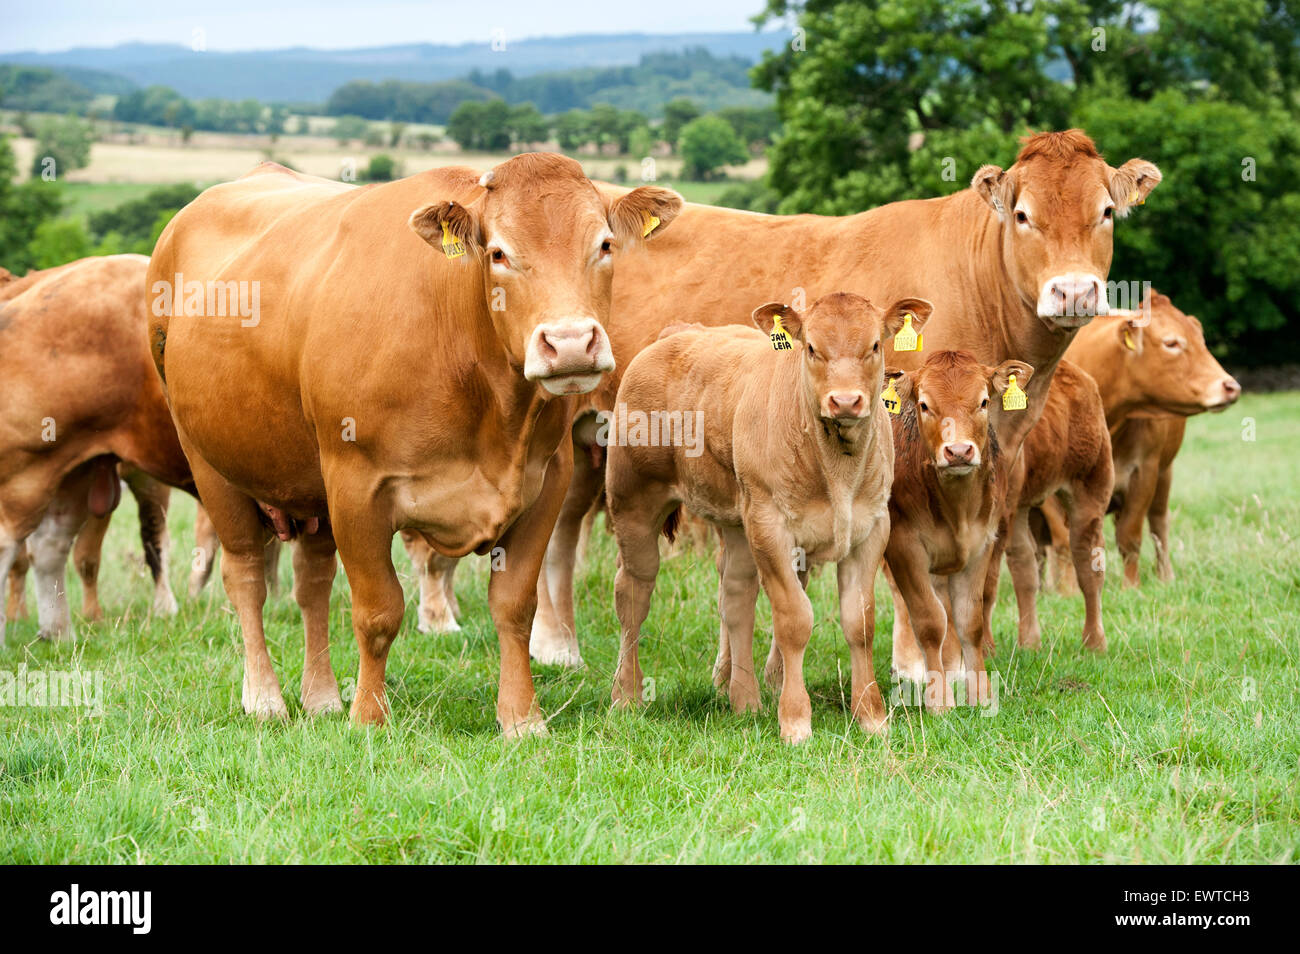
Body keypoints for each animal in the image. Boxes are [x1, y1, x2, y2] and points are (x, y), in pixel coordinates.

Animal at [148, 157, 681, 738]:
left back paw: (321, 697)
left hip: (309, 487)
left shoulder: (546, 485)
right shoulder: (356, 487)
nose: (569, 344)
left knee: (312, 583)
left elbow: (515, 607)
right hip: (212, 466)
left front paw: (522, 719)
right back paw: (265, 698)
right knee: (246, 578)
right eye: (498, 253)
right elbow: (378, 610)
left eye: (604, 244)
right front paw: (367, 717)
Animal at [527, 130, 1170, 670]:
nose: (1073, 291)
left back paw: (559, 646)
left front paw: (975, 656)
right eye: (1022, 215)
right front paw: (916, 667)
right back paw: (553, 646)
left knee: (562, 527)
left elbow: (984, 577)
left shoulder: (1000, 465)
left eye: (1105, 212)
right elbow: (906, 585)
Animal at [603, 295, 920, 743]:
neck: (837, 469)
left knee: (735, 597)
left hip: (737, 521)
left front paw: (871, 716)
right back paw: (627, 695)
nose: (844, 401)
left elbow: (860, 622)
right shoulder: (771, 528)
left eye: (875, 345)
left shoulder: (871, 528)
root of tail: (681, 332)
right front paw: (795, 720)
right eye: (811, 348)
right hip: (633, 502)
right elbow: (794, 619)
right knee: (633, 593)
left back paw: (744, 699)